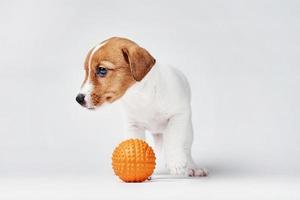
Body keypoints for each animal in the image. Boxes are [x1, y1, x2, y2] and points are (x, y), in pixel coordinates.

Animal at [75, 37, 206, 177]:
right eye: (86, 71)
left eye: (102, 70)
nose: (78, 99)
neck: (139, 96)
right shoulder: (133, 125)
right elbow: (135, 143)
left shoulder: (179, 115)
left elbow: (173, 139)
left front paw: (176, 163)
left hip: (188, 129)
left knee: (185, 148)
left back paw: (192, 167)